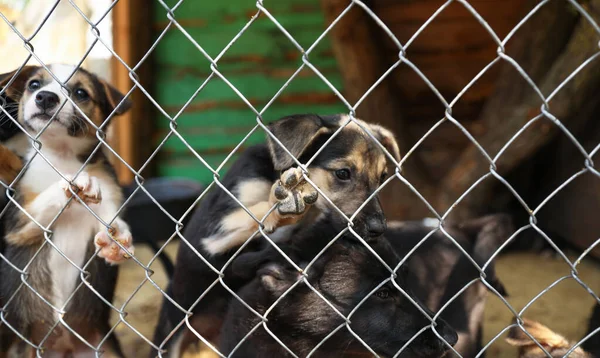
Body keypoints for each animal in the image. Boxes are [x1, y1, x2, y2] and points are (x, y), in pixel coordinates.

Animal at [0, 65, 134, 358]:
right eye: (34, 85)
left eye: (81, 93)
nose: (45, 97)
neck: (61, 157)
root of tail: (63, 345)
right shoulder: (19, 225)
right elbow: (50, 196)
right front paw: (77, 180)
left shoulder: (108, 205)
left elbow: (114, 224)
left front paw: (116, 243)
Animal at [152, 114, 400, 358]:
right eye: (342, 173)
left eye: (383, 177)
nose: (378, 229)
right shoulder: (213, 230)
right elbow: (256, 213)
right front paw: (284, 200)